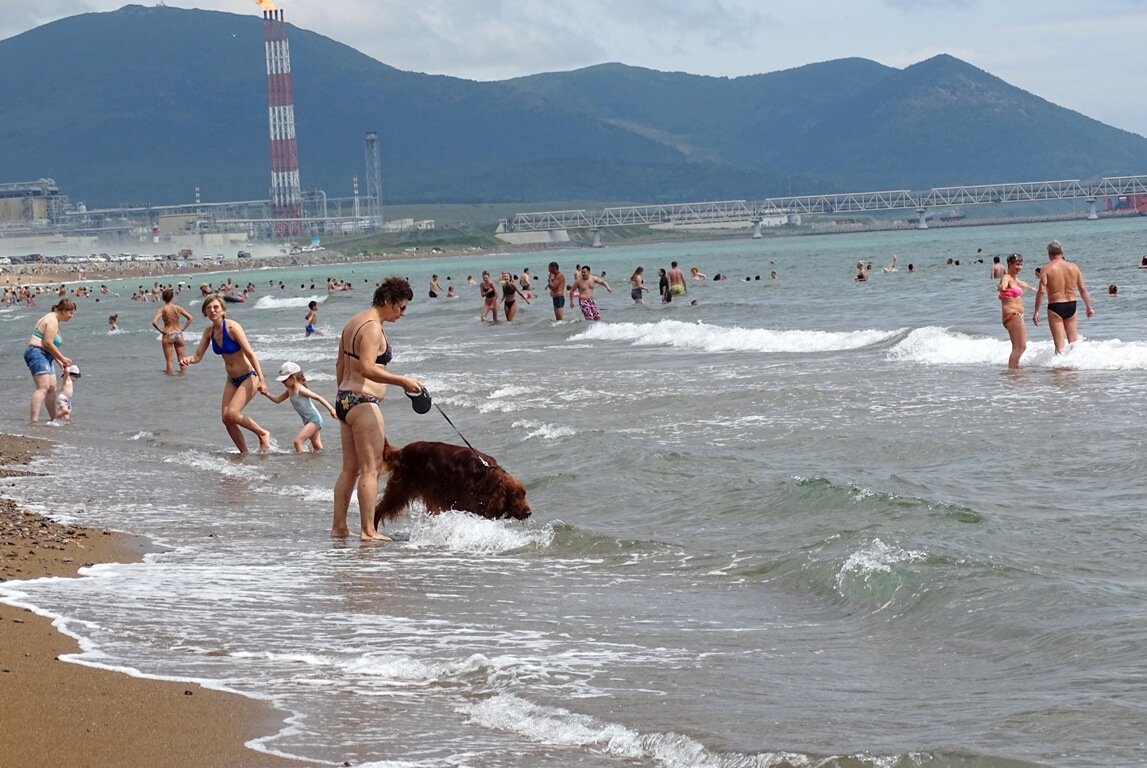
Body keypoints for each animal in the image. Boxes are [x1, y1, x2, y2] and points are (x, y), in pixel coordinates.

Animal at [376, 440, 532, 529]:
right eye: (515, 495)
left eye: (524, 494)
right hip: (400, 490)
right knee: (378, 509)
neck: (486, 477)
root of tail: (401, 451)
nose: (529, 513)